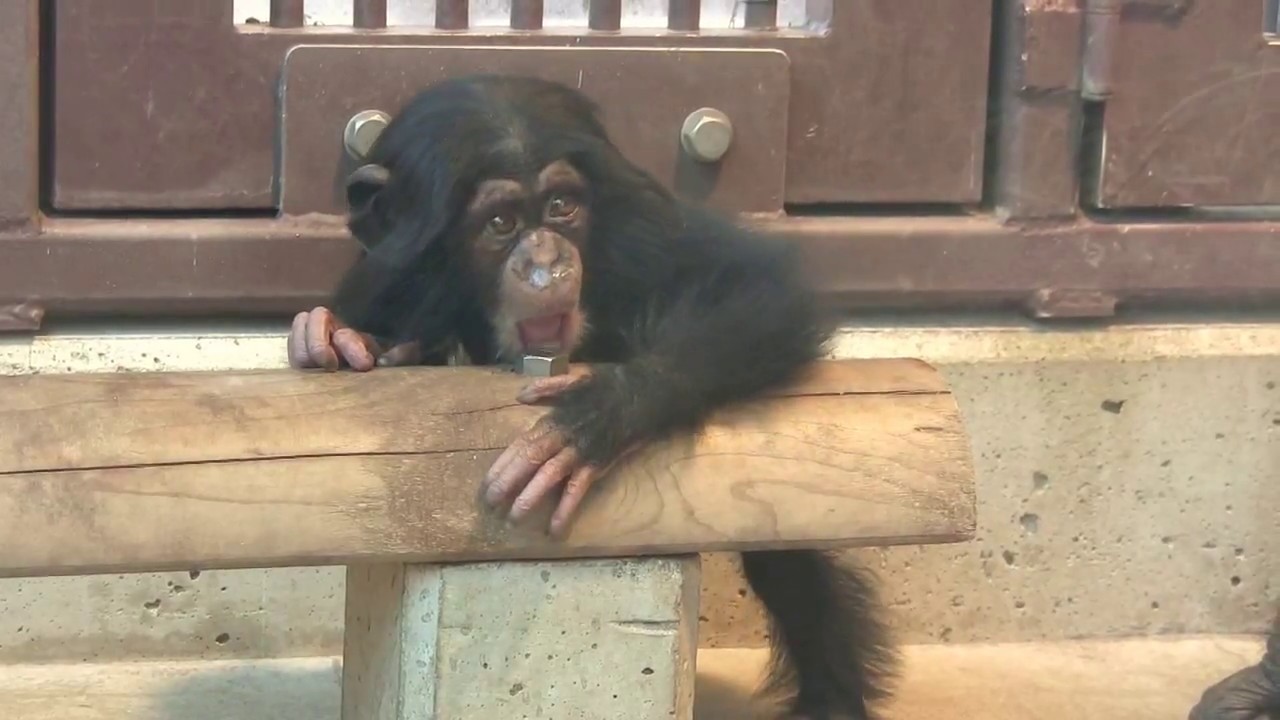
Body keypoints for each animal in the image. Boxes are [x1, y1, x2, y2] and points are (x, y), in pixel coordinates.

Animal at [288, 74, 899, 719]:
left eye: (561, 207)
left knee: (785, 560)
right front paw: (337, 338)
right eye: (501, 222)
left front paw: (595, 416)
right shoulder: (384, 281)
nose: (546, 259)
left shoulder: (644, 232)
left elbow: (753, 285)